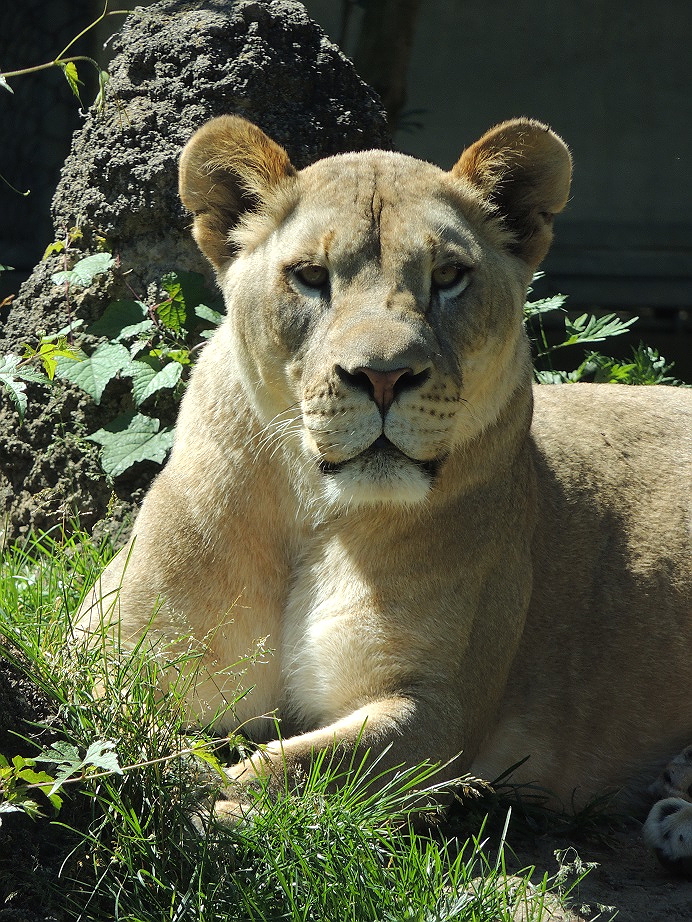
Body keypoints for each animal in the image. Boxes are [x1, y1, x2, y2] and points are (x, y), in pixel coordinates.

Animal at [77, 116, 692, 850]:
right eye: (310, 277)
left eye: (448, 276)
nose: (382, 375)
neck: (312, 514)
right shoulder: (106, 648)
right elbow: (122, 724)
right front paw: (179, 782)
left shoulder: (436, 709)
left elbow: (301, 762)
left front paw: (220, 807)